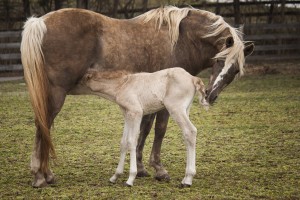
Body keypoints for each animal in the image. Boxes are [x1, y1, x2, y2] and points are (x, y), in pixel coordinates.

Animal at [81, 67, 210, 186]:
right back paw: (185, 178)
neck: (123, 85)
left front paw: (130, 178)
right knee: (187, 136)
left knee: (191, 131)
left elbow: (132, 141)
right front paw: (115, 176)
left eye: (82, 79)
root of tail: (193, 78)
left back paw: (188, 180)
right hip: (185, 109)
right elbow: (123, 142)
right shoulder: (127, 114)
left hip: (176, 109)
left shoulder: (136, 112)